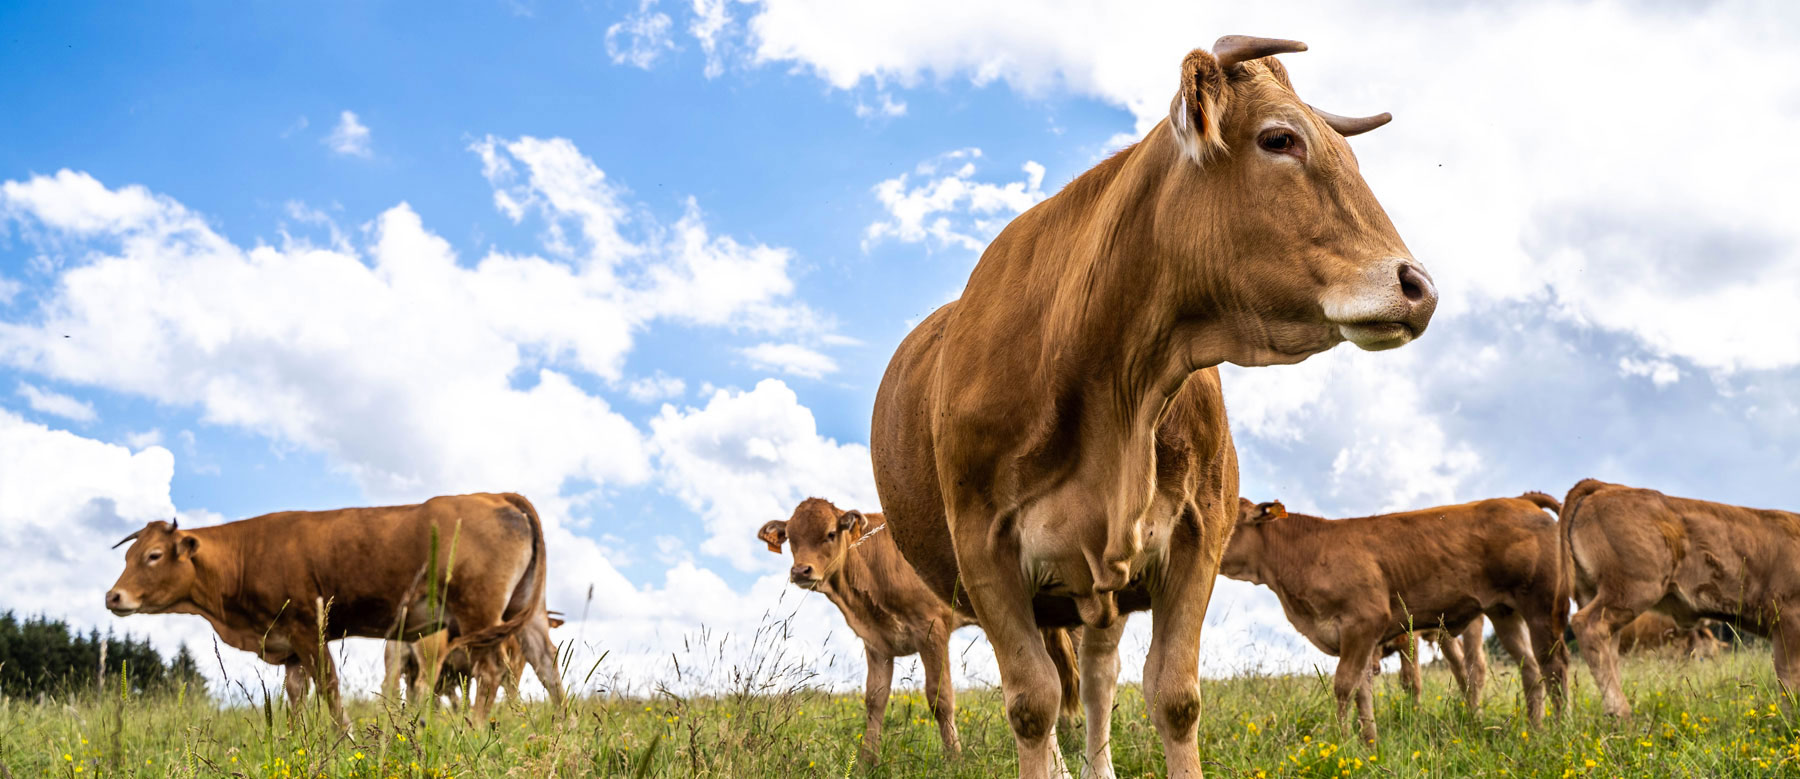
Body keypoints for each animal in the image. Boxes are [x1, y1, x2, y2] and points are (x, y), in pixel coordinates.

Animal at [105, 492, 561, 723]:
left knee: (492, 673)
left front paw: (345, 741)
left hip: (480, 612)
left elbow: (330, 692)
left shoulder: (309, 629)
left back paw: (474, 730)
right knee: (548, 668)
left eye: (154, 556)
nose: (113, 596)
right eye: (128, 556)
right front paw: (292, 742)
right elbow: (295, 697)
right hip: (528, 615)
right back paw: (562, 724)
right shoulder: (289, 645)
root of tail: (493, 496)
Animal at [752, 496, 1072, 759]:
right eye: (791, 539)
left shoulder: (932, 629)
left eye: (830, 534)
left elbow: (940, 697)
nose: (800, 571)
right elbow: (875, 700)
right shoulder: (876, 643)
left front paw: (954, 758)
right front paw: (867, 761)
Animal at [871, 36, 1432, 777]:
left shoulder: (1198, 535)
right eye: (1279, 139)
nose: (1418, 285)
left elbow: (1174, 695)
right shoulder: (984, 550)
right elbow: (1031, 704)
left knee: (1098, 677)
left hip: (1098, 596)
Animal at [1216, 492, 1569, 741]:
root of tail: (1521, 501)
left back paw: (1559, 729)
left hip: (1541, 606)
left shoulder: (1363, 623)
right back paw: (1535, 730)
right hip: (1504, 612)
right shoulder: (1357, 639)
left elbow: (1345, 685)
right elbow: (1362, 689)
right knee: (1530, 668)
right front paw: (1368, 742)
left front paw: (1343, 740)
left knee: (1554, 666)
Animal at [1562, 478, 1800, 716]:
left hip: (1593, 592)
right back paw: (1620, 710)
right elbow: (1790, 678)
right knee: (1590, 626)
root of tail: (1605, 486)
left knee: (1608, 645)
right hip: (1632, 589)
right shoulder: (1788, 616)